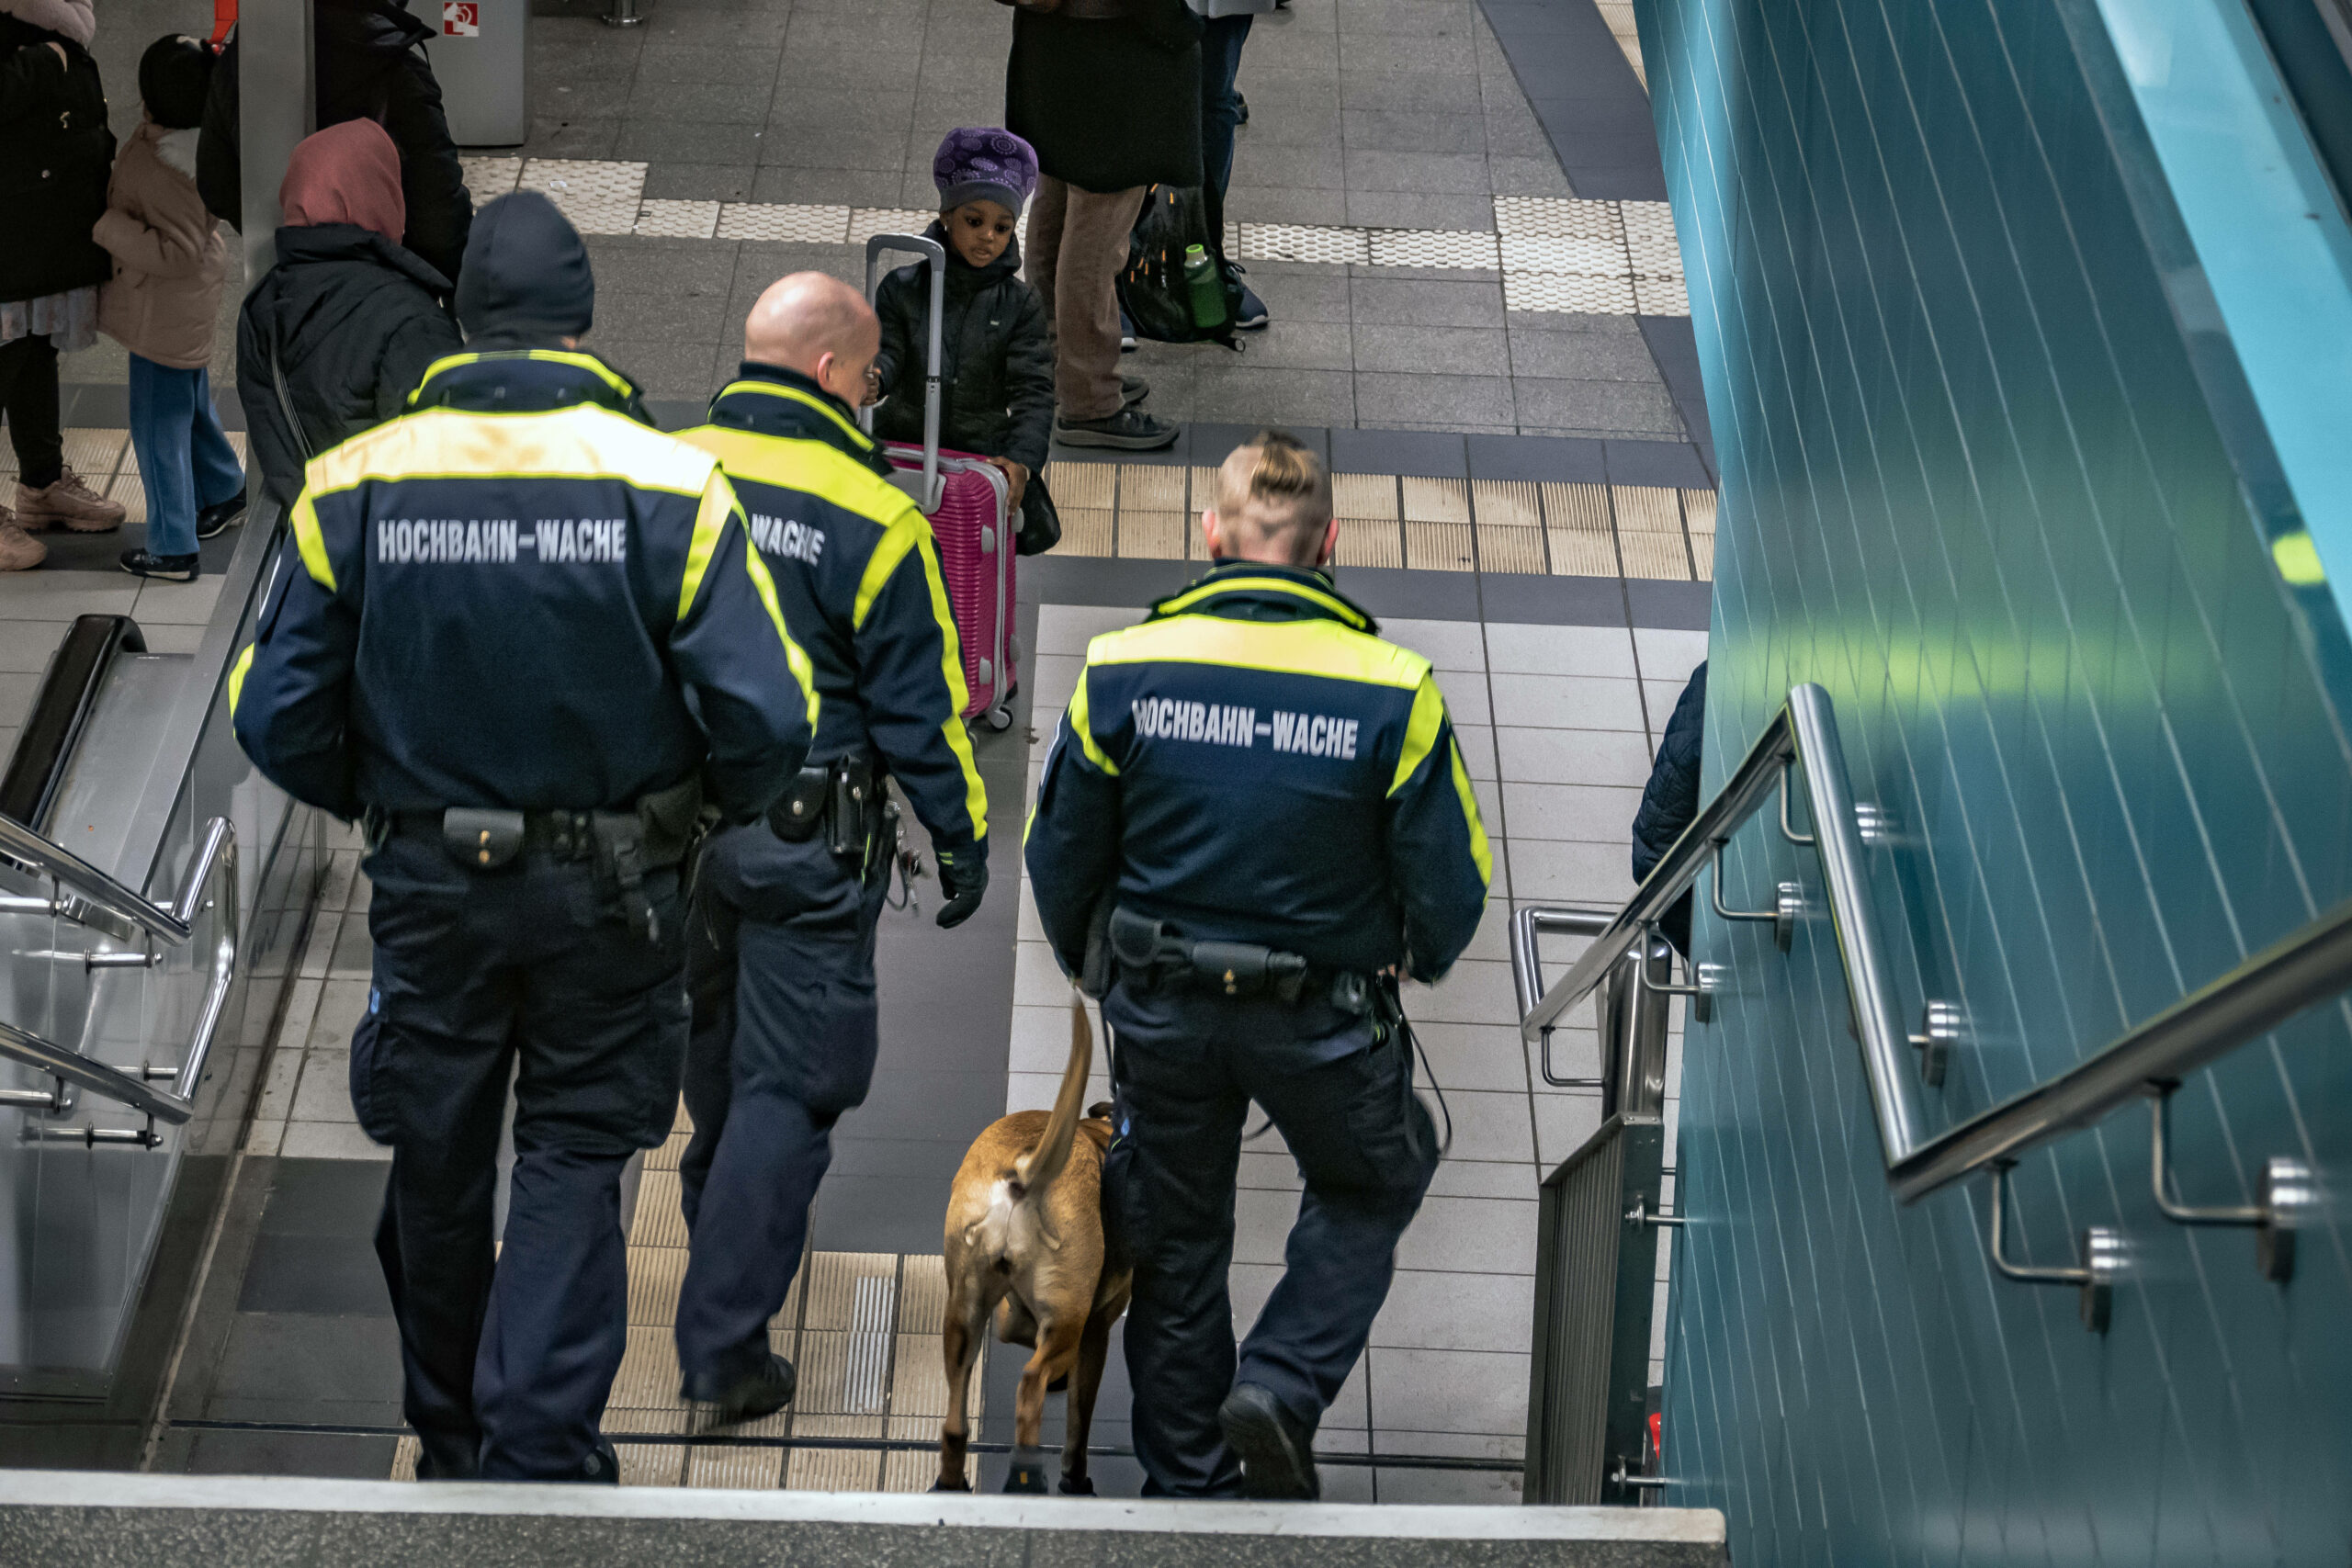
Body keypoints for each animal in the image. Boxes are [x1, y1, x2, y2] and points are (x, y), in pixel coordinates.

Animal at [935, 991, 1128, 1495]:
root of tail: (1024, 1173)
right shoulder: (1094, 1327)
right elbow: (1079, 1425)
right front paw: (1075, 1478)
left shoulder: (1018, 1316)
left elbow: (1014, 1331)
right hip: (1067, 1319)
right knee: (1030, 1386)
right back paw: (1027, 1472)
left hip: (963, 1313)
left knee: (955, 1423)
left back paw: (950, 1480)